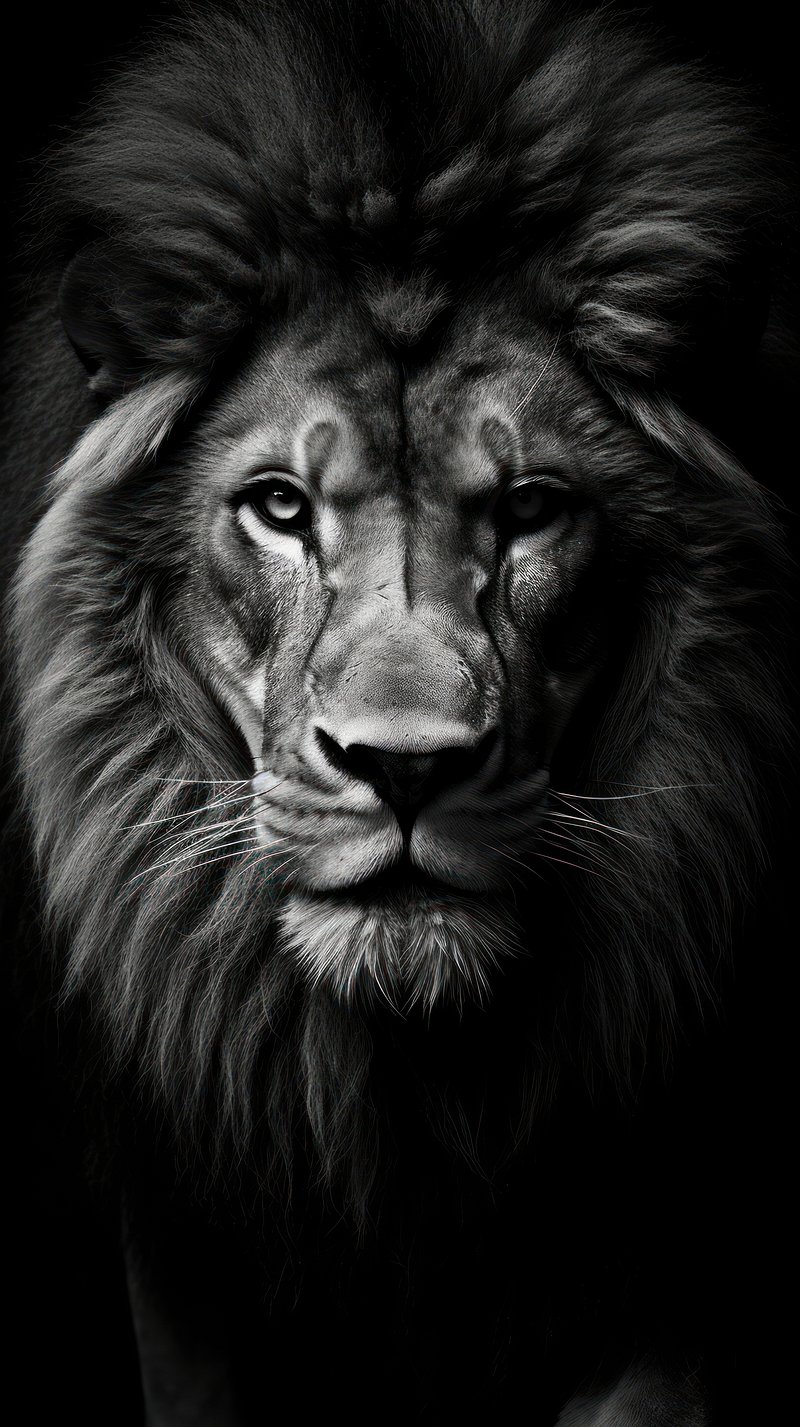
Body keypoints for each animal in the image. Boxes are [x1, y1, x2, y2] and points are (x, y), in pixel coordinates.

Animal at [1, 1, 792, 1422]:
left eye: (530, 505)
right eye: (278, 504)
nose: (405, 769)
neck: (407, 1099)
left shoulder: (668, 1261)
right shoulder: (182, 1251)